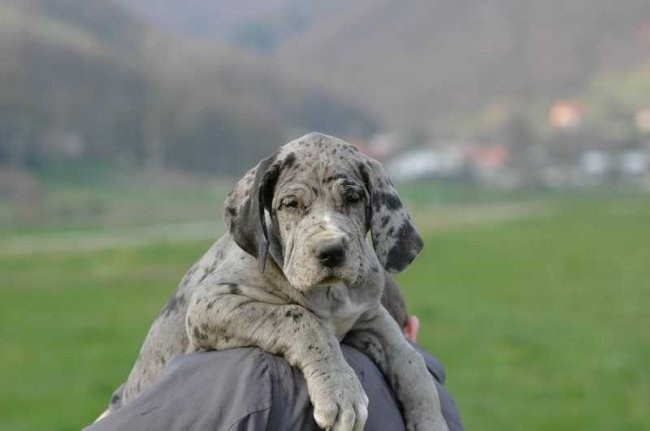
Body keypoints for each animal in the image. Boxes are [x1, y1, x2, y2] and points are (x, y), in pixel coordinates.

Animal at [107, 133, 450, 430]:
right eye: (291, 204)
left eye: (353, 198)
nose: (331, 252)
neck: (330, 294)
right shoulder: (211, 303)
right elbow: (301, 319)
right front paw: (341, 392)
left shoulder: (370, 315)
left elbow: (410, 359)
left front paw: (431, 419)